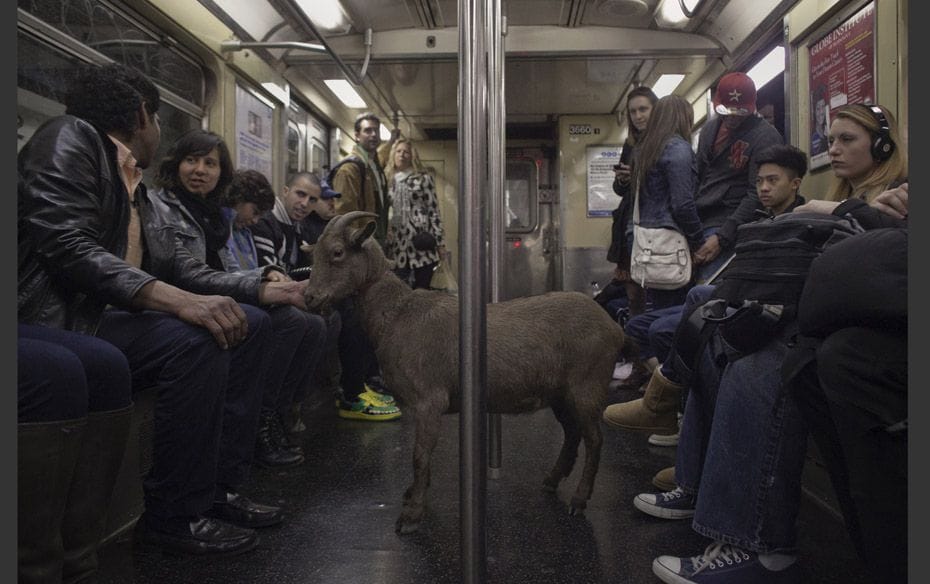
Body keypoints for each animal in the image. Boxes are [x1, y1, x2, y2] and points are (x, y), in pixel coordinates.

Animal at [304, 211, 632, 532]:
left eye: (337, 252)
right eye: (313, 252)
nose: (309, 297)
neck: (397, 314)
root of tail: (615, 328)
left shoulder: (429, 400)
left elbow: (419, 455)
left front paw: (412, 514)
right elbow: (422, 455)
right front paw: (412, 494)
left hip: (587, 386)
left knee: (594, 440)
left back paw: (578, 500)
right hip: (560, 394)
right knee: (572, 434)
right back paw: (551, 481)